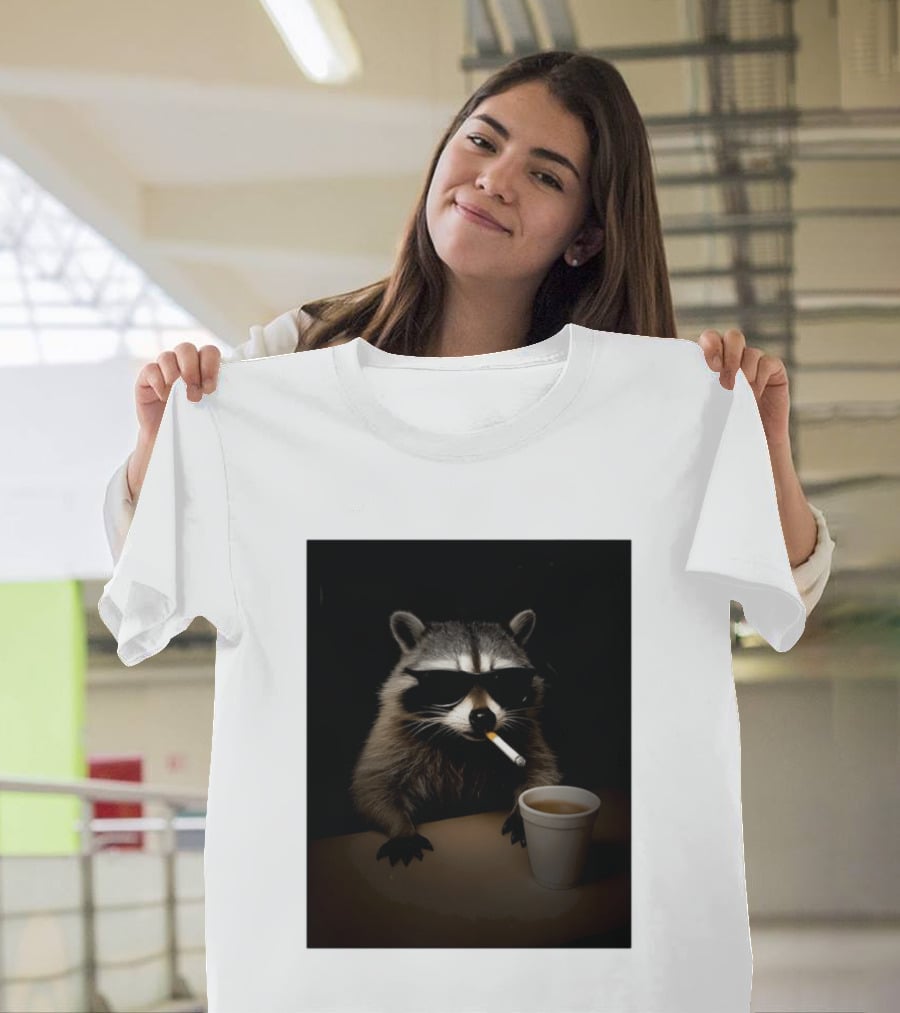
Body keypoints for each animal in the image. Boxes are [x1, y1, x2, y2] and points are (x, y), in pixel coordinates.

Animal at [350, 608, 562, 866]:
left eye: (501, 681)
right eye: (447, 683)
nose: (483, 718)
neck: (463, 743)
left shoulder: (527, 732)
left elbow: (542, 774)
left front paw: (522, 814)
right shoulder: (392, 734)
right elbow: (372, 788)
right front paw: (401, 828)